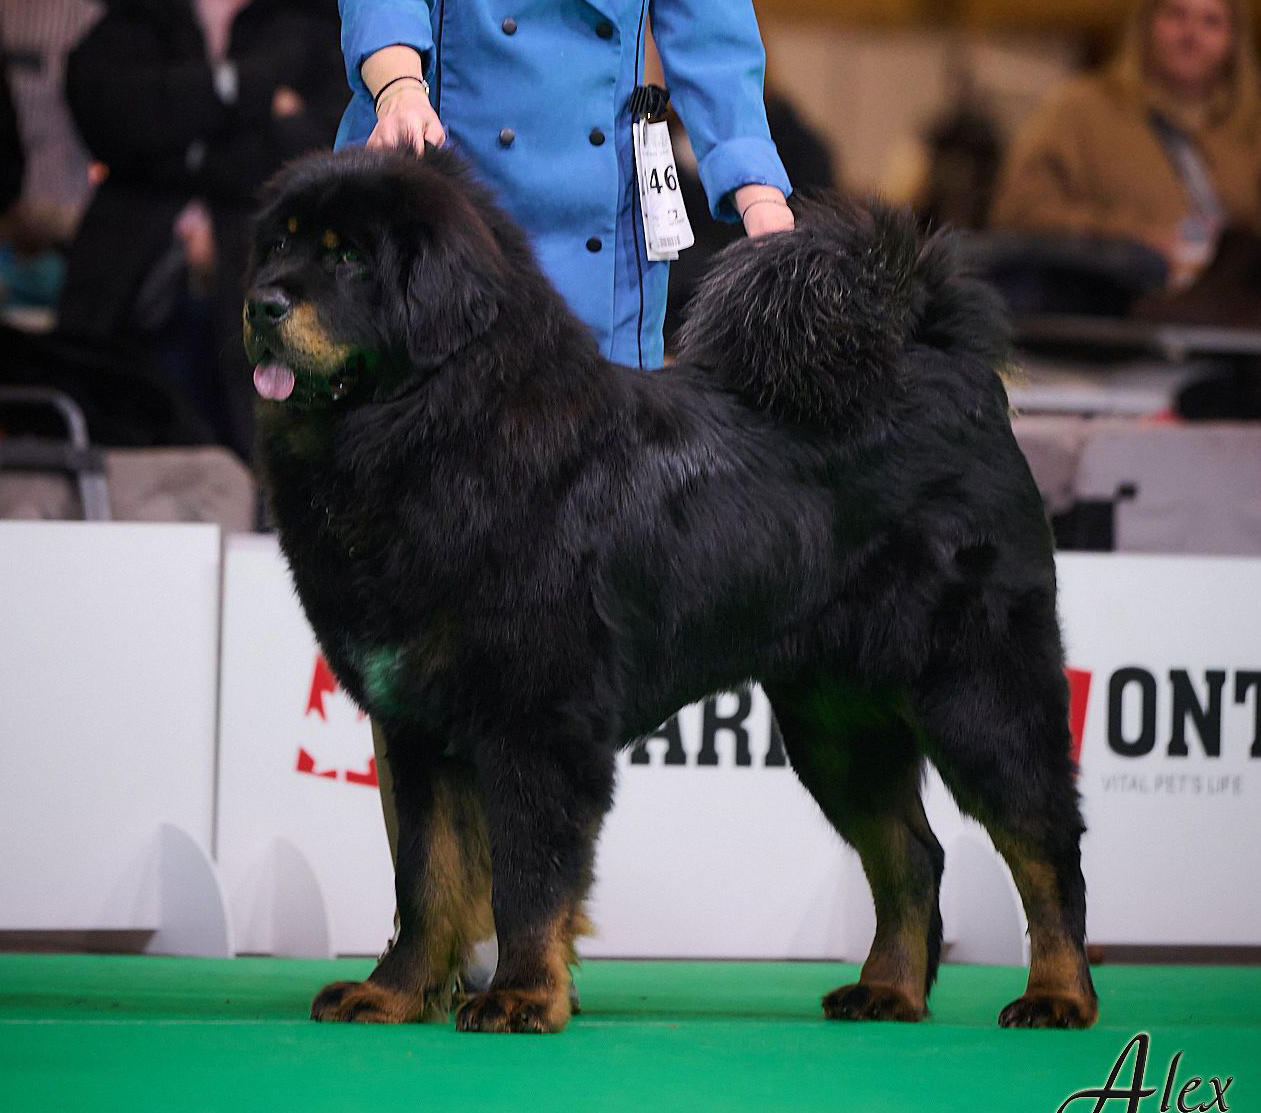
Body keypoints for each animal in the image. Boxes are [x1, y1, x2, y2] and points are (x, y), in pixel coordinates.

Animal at [243, 145, 1097, 1034]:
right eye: (280, 245)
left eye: (347, 258)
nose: (261, 303)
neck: (438, 430)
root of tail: (942, 356)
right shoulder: (415, 727)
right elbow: (426, 877)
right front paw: (394, 992)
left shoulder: (537, 719)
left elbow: (528, 878)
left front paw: (521, 995)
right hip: (835, 721)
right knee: (911, 855)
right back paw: (888, 989)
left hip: (979, 690)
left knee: (1044, 844)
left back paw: (1056, 994)